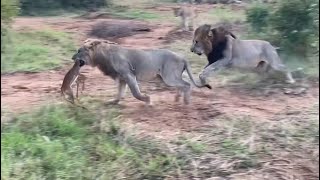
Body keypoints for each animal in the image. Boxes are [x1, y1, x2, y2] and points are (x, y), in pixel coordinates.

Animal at [71, 38, 211, 105]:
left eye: (79, 51)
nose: (72, 58)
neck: (102, 56)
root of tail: (182, 57)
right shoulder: (122, 79)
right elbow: (119, 93)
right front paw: (113, 102)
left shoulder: (129, 75)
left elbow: (135, 93)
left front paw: (148, 100)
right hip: (171, 77)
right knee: (185, 83)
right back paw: (177, 99)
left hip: (169, 77)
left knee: (187, 84)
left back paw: (186, 103)